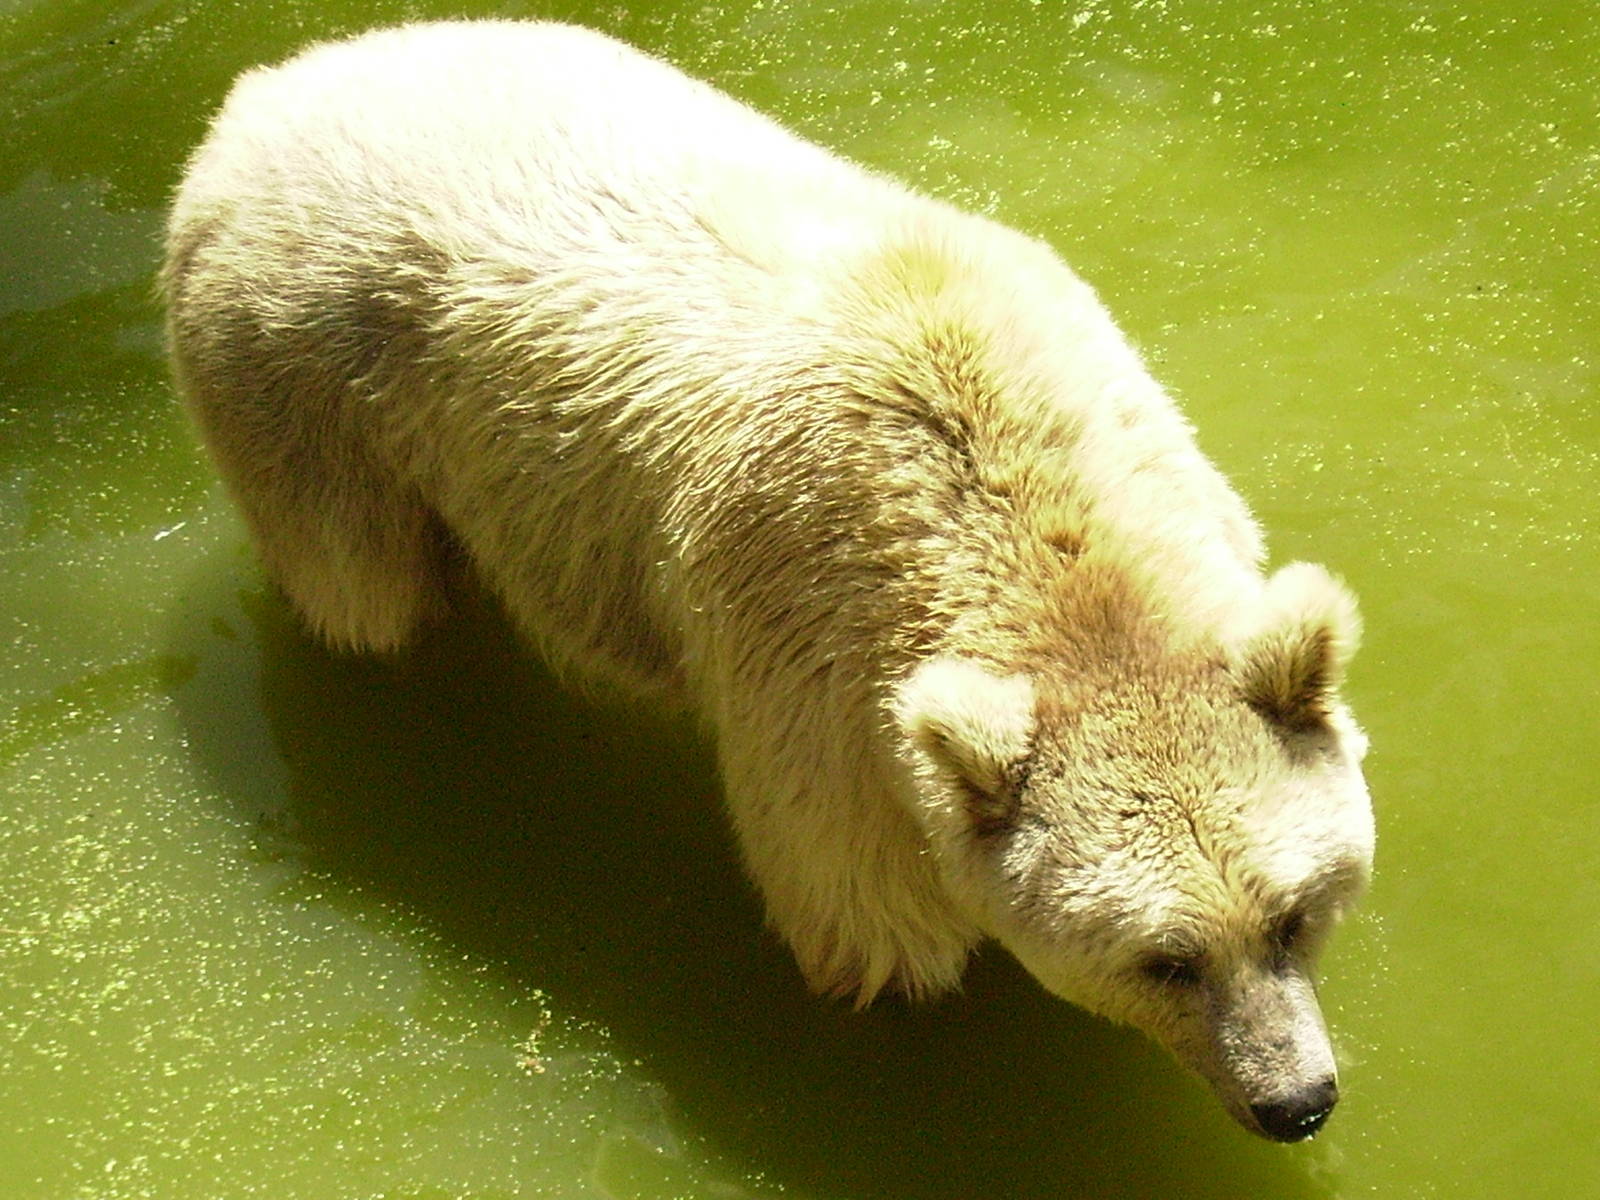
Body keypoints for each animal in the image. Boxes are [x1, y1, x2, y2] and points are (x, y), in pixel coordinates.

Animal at [161, 20, 1374, 1142]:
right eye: (1163, 957)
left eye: (1293, 913)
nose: (1295, 1100)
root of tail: (261, 93)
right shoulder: (815, 674)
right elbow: (864, 918)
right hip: (304, 388)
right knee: (361, 590)